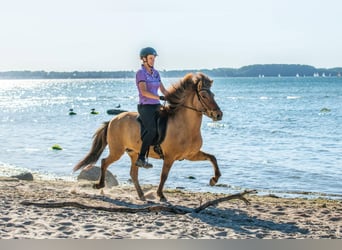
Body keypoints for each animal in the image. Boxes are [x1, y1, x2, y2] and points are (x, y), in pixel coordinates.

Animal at [73, 72, 223, 201]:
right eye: (204, 96)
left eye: (213, 95)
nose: (218, 115)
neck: (185, 126)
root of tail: (112, 120)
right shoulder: (169, 157)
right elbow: (164, 176)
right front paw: (161, 195)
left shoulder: (190, 155)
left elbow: (212, 158)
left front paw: (214, 179)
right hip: (117, 151)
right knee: (105, 162)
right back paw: (99, 185)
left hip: (134, 153)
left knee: (133, 173)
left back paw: (141, 195)